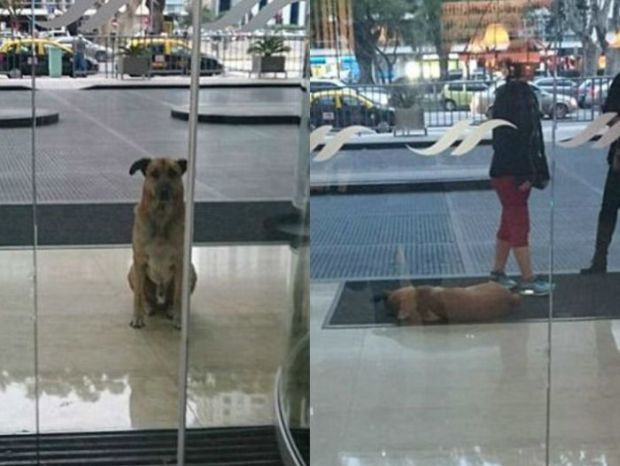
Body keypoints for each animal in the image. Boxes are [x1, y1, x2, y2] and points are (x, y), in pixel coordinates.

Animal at [129, 158, 199, 330]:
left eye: (173, 173)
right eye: (153, 174)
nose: (164, 191)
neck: (161, 217)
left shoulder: (181, 263)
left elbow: (179, 295)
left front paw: (179, 319)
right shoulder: (139, 261)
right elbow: (137, 296)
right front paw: (137, 317)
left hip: (191, 272)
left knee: (173, 299)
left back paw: (172, 309)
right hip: (133, 271)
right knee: (143, 295)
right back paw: (147, 307)